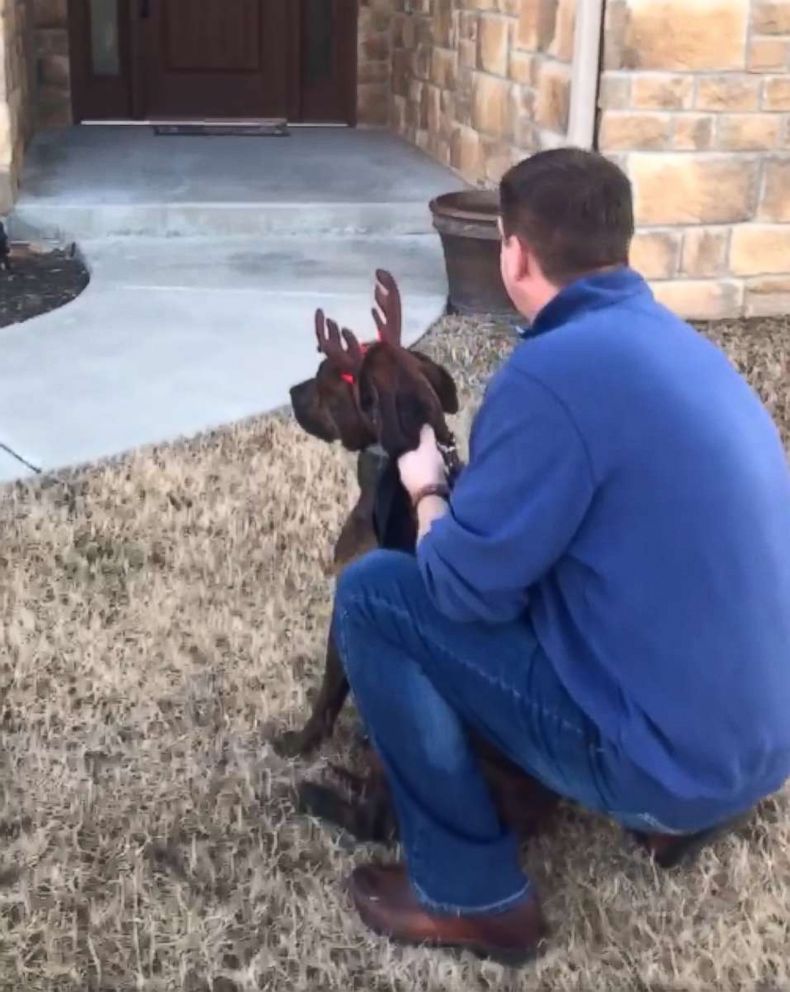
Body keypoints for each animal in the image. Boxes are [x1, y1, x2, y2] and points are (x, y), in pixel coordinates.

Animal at [282, 272, 560, 844]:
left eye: (326, 378)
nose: (290, 391)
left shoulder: (344, 615)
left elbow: (327, 693)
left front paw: (300, 744)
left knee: (376, 822)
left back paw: (318, 793)